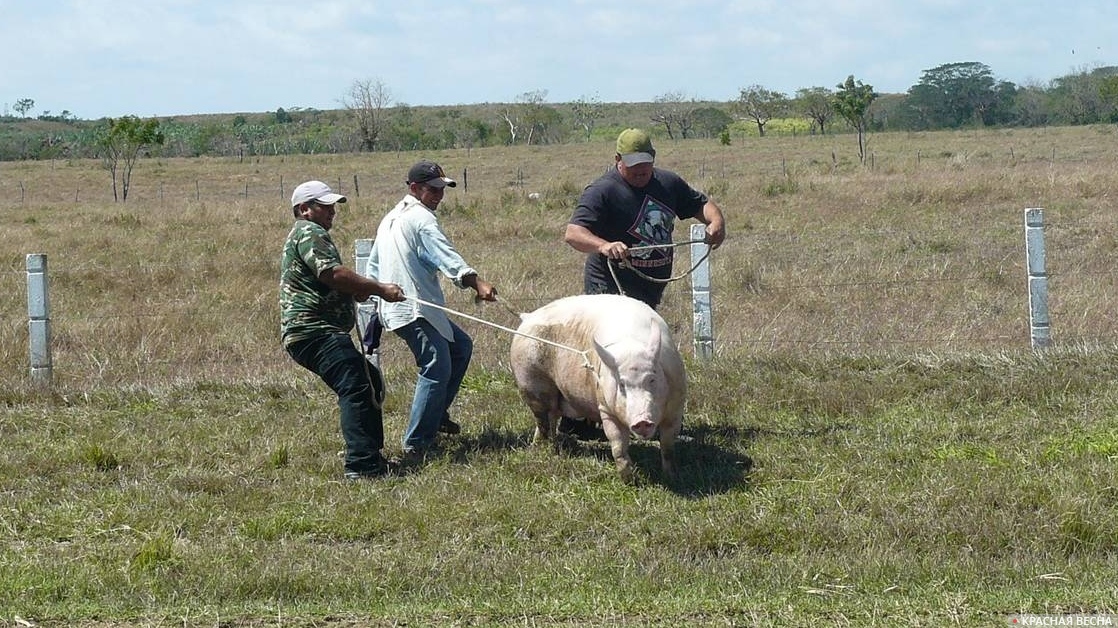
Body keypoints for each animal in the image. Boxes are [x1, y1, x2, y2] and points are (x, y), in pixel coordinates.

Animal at [512, 292, 684, 478]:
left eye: (652, 379)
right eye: (621, 385)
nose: (642, 421)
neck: (631, 347)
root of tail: (527, 317)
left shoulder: (676, 407)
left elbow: (668, 446)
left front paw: (671, 475)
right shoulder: (606, 407)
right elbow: (617, 443)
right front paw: (629, 479)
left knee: (551, 419)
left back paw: (551, 449)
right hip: (530, 381)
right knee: (542, 419)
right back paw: (543, 451)